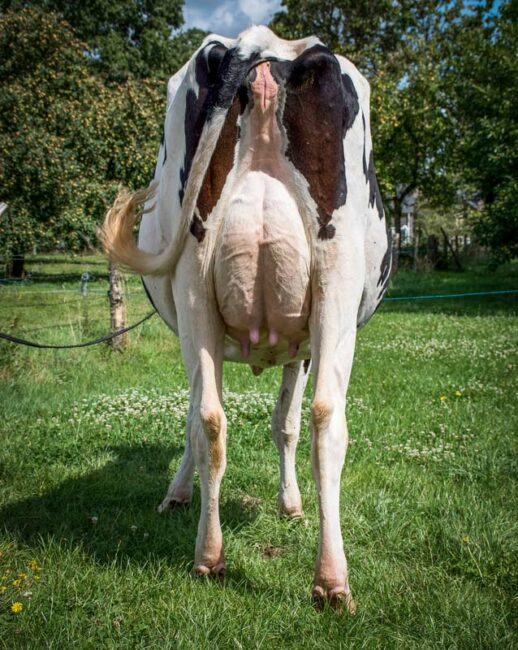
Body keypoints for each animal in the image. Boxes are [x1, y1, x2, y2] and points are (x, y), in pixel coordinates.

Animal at [101, 26, 392, 612]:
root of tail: (260, 45)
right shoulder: (304, 348)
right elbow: (286, 422)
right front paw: (289, 504)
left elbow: (207, 419)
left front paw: (179, 493)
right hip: (336, 282)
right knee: (326, 417)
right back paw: (332, 579)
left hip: (194, 286)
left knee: (210, 418)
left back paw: (210, 557)